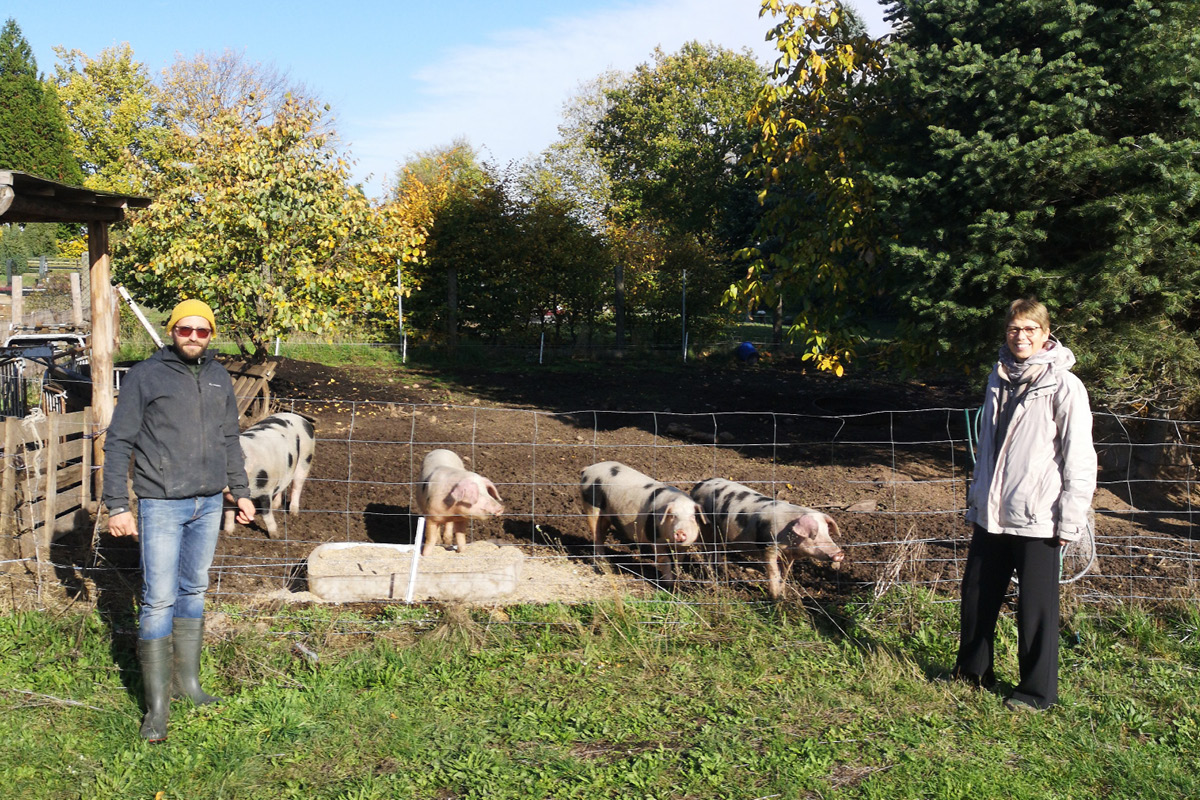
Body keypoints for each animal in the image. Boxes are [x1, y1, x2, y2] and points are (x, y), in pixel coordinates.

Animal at [691, 474, 849, 599]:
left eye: (827, 532)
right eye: (813, 535)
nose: (840, 553)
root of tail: (699, 485)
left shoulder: (788, 555)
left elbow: (785, 574)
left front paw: (783, 596)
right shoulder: (768, 547)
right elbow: (774, 573)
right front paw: (774, 598)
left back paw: (721, 572)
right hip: (705, 528)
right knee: (707, 551)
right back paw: (712, 577)